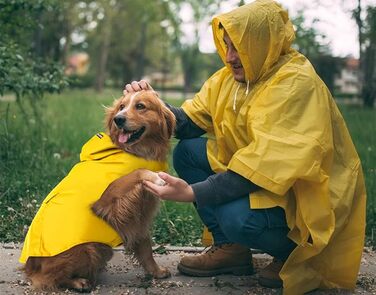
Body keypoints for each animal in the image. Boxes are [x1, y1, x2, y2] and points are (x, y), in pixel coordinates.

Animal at [22, 91, 176, 294]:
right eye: (121, 107)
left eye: (140, 106)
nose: (119, 119)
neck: (137, 150)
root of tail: (30, 265)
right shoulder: (108, 199)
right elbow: (138, 172)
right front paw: (155, 177)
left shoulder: (140, 212)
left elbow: (145, 246)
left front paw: (155, 271)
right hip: (85, 250)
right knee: (49, 277)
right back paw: (79, 282)